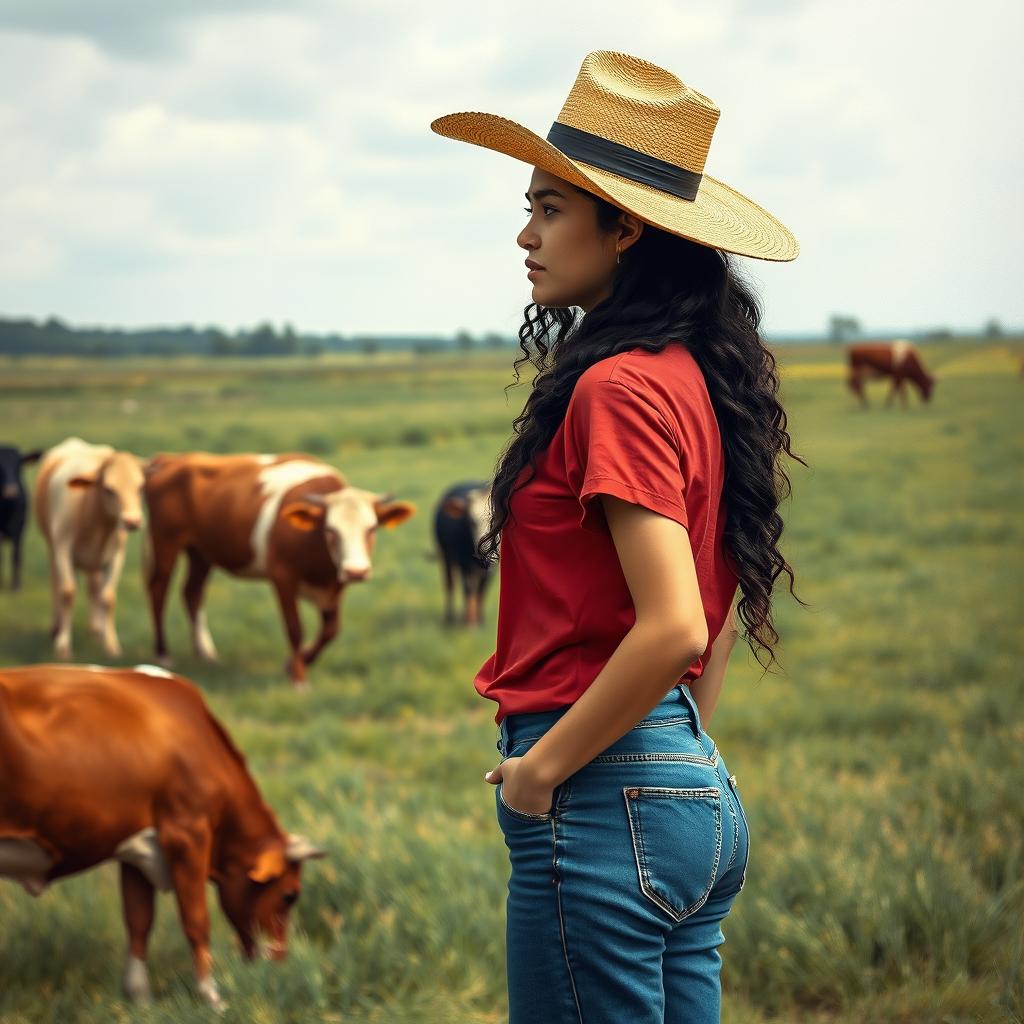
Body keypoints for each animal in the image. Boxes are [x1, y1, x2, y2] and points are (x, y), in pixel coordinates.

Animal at [0, 446, 42, 593]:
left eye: (19, 466)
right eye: (0, 466)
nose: (10, 491)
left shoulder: (18, 530)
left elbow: (16, 556)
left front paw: (16, 586)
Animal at [0, 663, 323, 1007]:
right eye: (290, 895)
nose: (279, 964)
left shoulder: (134, 847)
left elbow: (139, 920)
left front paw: (140, 997)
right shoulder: (187, 833)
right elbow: (197, 921)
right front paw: (212, 998)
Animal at [33, 436, 146, 659]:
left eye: (139, 487)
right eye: (109, 489)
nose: (132, 521)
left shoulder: (116, 555)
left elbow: (108, 596)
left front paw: (110, 644)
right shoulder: (62, 548)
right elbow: (68, 592)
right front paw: (63, 646)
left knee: (94, 587)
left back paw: (96, 629)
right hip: (51, 546)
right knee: (55, 582)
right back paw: (55, 626)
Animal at [143, 452, 415, 684]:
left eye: (372, 529)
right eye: (330, 530)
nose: (356, 571)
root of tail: (171, 459)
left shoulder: (335, 585)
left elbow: (331, 630)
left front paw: (295, 663)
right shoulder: (283, 578)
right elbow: (295, 629)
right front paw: (298, 677)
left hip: (201, 552)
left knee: (192, 593)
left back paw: (206, 654)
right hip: (165, 541)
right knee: (159, 588)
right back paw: (162, 653)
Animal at [432, 477, 495, 622]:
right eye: (472, 521)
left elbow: (482, 589)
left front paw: (480, 619)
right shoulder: (463, 563)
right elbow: (468, 588)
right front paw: (468, 620)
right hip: (445, 554)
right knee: (450, 583)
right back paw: (449, 618)